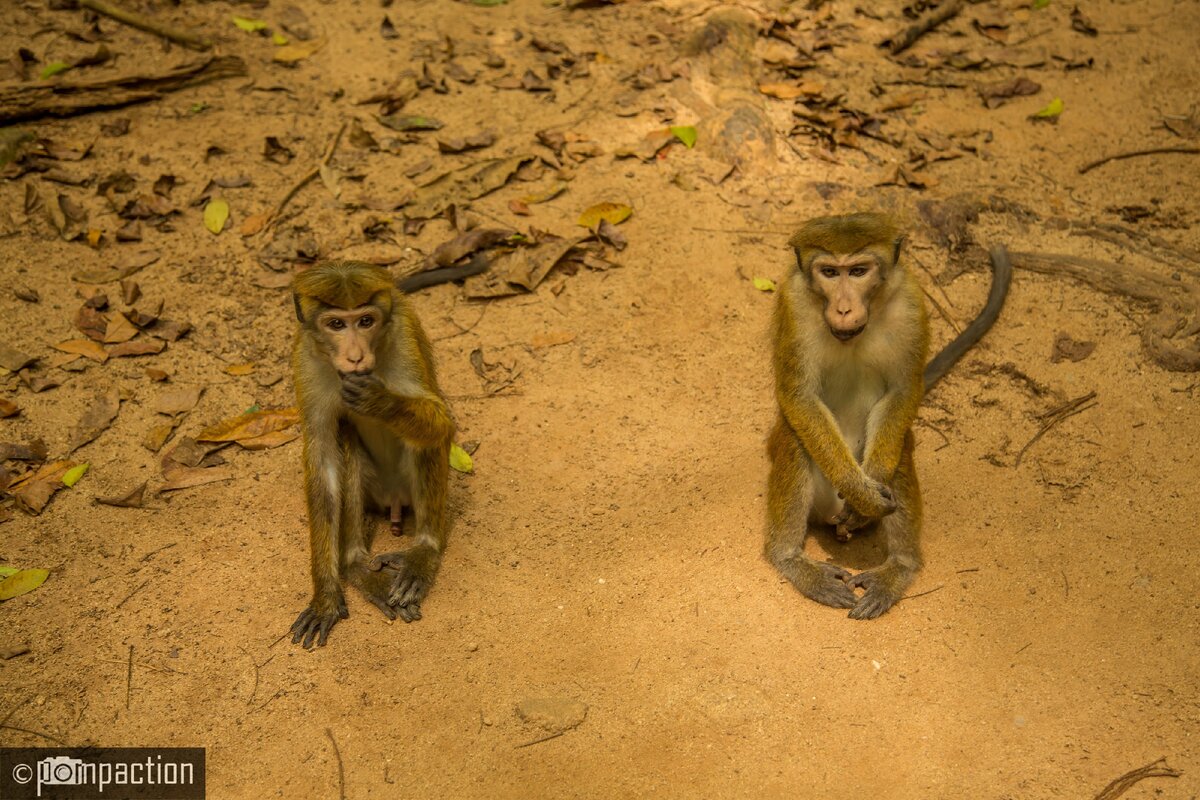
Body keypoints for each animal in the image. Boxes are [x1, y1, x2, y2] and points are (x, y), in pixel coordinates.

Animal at [289, 262, 453, 652]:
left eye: (366, 321)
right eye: (336, 324)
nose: (356, 357)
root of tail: (392, 500)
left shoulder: (404, 333)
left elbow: (440, 420)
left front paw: (382, 402)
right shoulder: (305, 358)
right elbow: (323, 460)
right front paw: (326, 596)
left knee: (423, 441)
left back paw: (423, 552)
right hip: (373, 490)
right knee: (345, 439)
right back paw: (356, 565)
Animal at [763, 212, 1008, 618]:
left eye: (858, 271)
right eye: (829, 272)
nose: (844, 308)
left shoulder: (910, 298)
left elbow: (902, 391)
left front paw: (868, 493)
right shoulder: (792, 301)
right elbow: (799, 397)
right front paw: (861, 494)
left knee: (901, 447)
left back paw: (899, 566)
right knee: (796, 436)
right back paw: (790, 558)